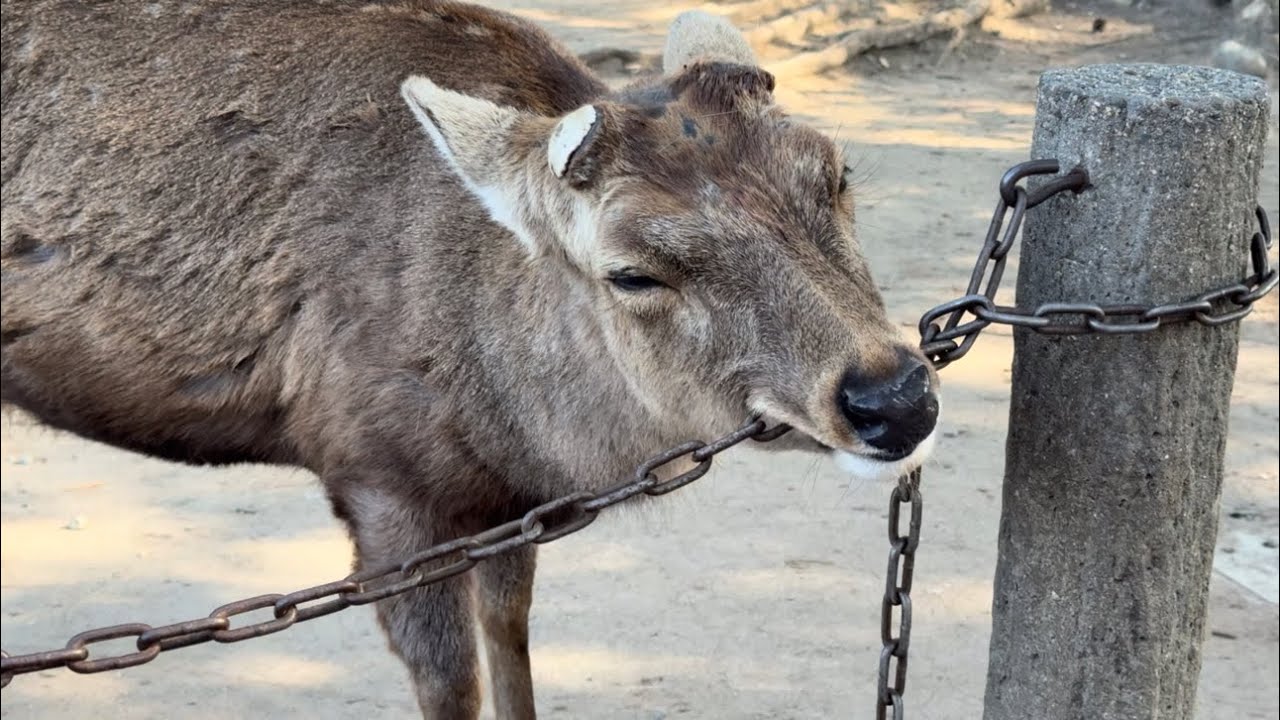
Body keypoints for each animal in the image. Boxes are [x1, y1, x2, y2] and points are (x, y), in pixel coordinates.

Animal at [0, 2, 940, 717]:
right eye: (631, 271)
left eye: (836, 172)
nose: (894, 396)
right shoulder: (383, 488)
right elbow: (452, 686)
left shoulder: (504, 503)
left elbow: (513, 638)